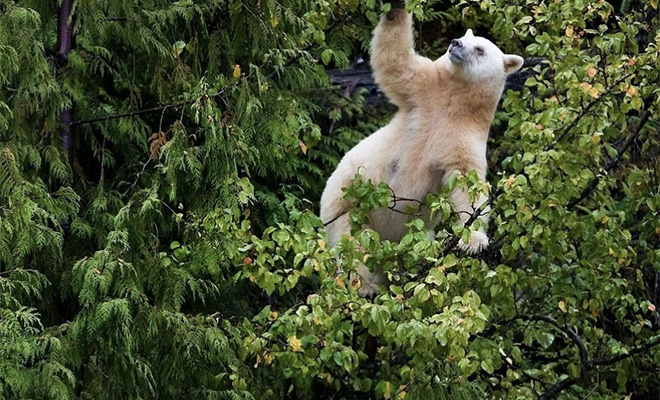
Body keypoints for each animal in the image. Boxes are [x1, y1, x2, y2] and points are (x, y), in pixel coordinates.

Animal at [320, 1, 524, 296]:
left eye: (480, 48)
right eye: (464, 36)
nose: (455, 43)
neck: (453, 100)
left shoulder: (465, 137)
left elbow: (468, 184)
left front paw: (473, 241)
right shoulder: (422, 91)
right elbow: (395, 62)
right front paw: (397, 6)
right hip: (344, 204)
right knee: (352, 244)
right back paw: (365, 286)